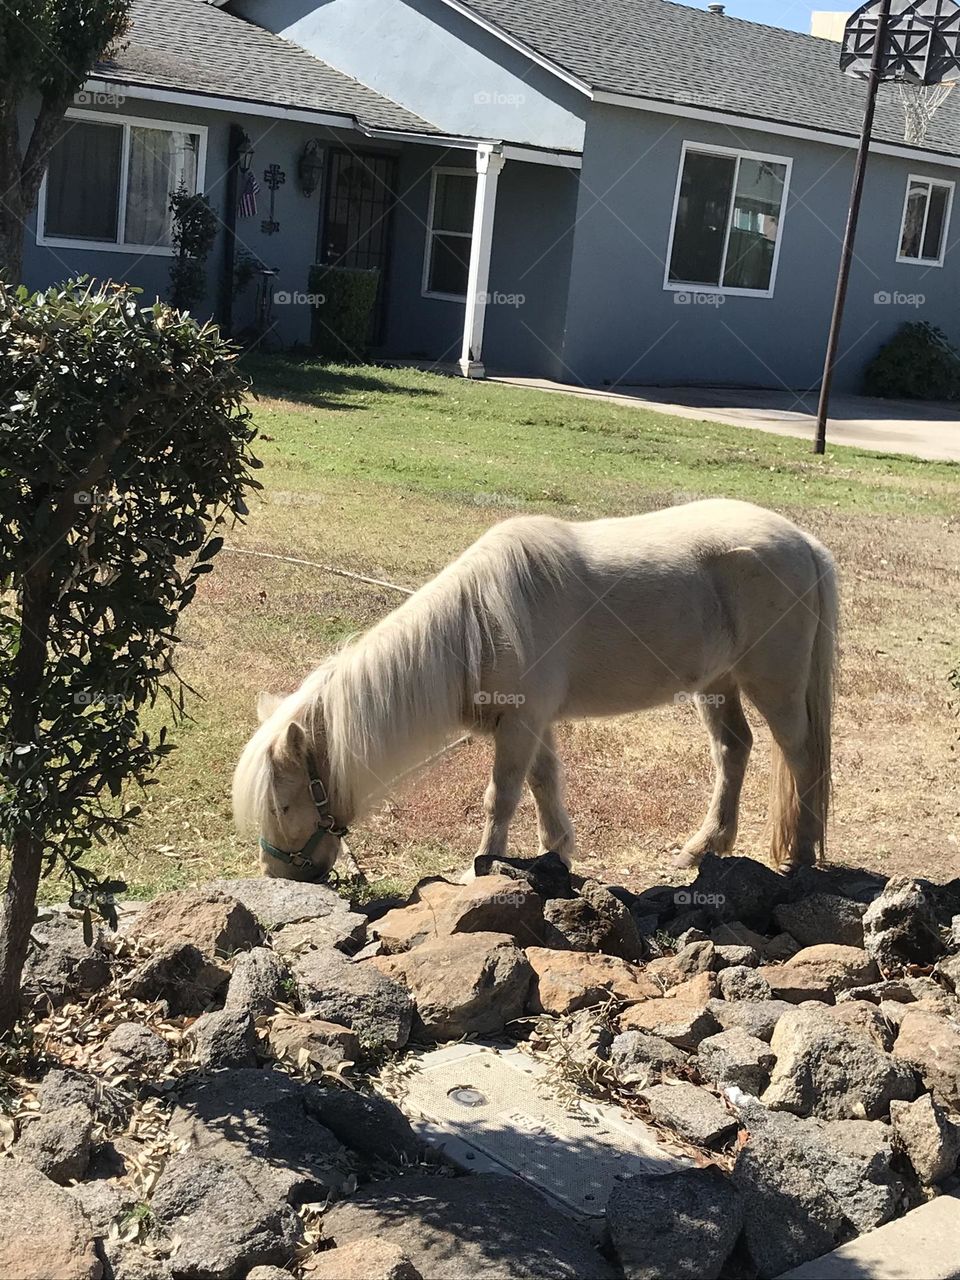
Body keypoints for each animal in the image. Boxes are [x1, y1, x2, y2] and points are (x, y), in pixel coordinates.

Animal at [231, 496, 834, 880]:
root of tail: (805, 543)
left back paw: (801, 854)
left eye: (282, 805)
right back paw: (703, 848)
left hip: (775, 684)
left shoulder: (519, 723)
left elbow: (502, 796)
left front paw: (482, 867)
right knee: (734, 749)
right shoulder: (535, 722)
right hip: (717, 684)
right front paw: (556, 854)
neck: (479, 623)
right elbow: (544, 784)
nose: (276, 875)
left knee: (802, 755)